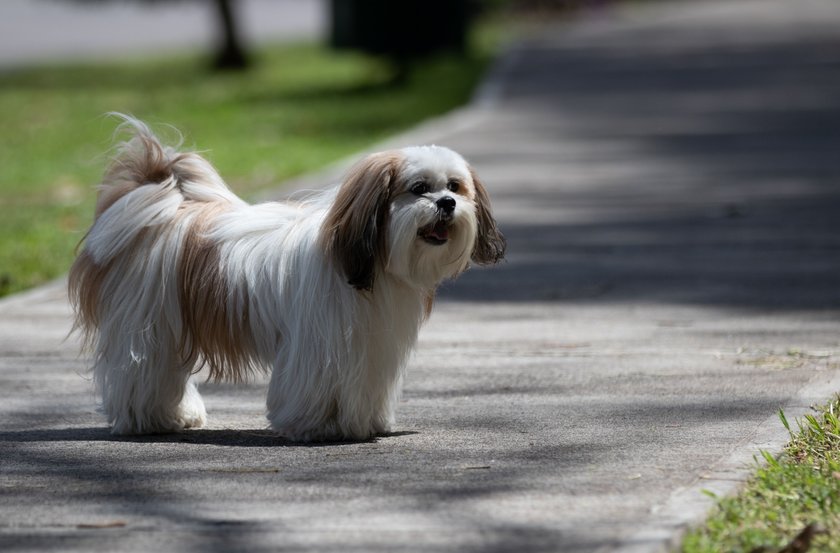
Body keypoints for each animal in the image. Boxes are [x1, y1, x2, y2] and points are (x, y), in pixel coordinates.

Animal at [69, 115, 502, 440]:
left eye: (455, 186)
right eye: (418, 188)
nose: (446, 203)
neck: (370, 263)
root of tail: (159, 208)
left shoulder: (373, 345)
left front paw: (369, 422)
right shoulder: (320, 344)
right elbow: (316, 384)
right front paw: (321, 426)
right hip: (148, 325)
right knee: (143, 372)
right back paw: (149, 419)